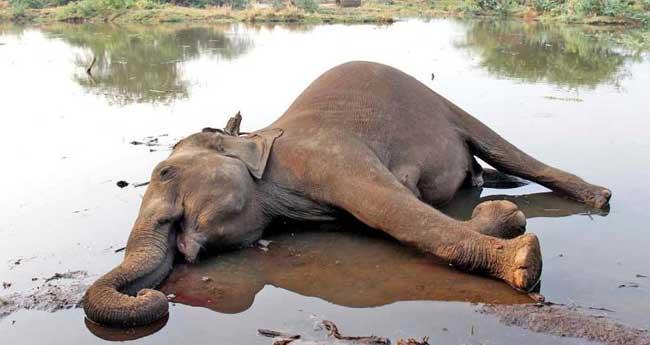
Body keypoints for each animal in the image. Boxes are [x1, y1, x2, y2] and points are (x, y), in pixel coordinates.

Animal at [83, 60, 612, 326]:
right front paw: (504, 219)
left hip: (443, 104)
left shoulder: (328, 157)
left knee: (503, 148)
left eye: (166, 171)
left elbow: (395, 211)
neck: (260, 136)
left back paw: (598, 198)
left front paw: (523, 259)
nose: (150, 293)